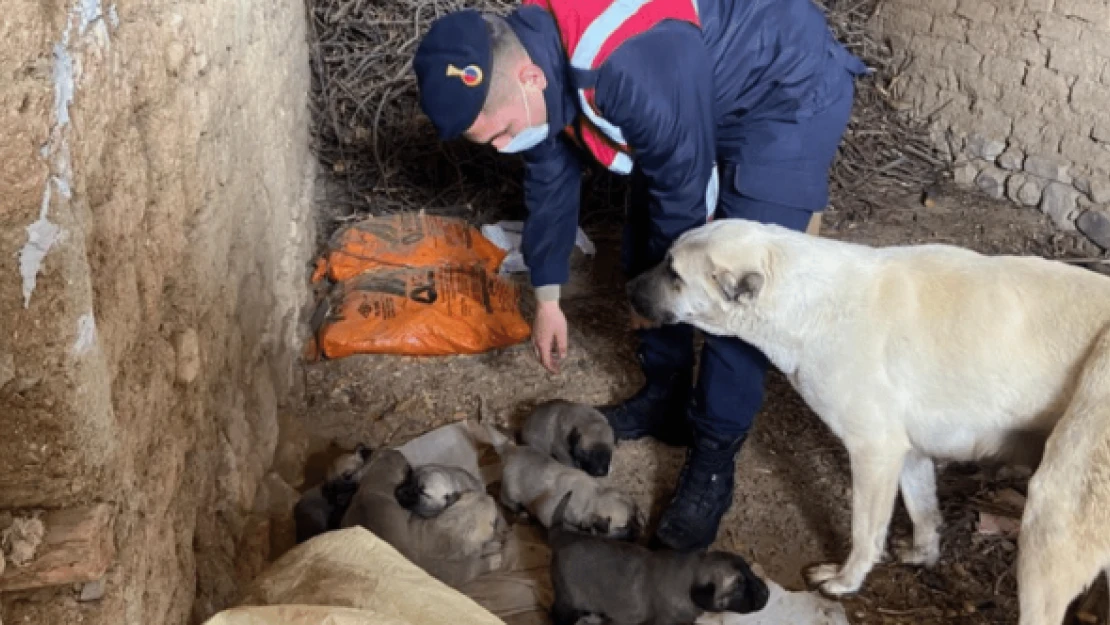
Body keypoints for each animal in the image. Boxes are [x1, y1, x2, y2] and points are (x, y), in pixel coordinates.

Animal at [546, 495, 772, 625]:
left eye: (749, 571)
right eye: (738, 586)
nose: (766, 593)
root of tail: (565, 537)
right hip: (568, 597)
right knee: (558, 612)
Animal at [626, 218, 1110, 617]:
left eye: (674, 273)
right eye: (667, 260)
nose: (626, 286)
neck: (809, 302)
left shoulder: (874, 450)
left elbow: (865, 531)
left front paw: (845, 580)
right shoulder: (906, 450)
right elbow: (923, 510)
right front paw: (922, 554)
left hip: (1055, 506)